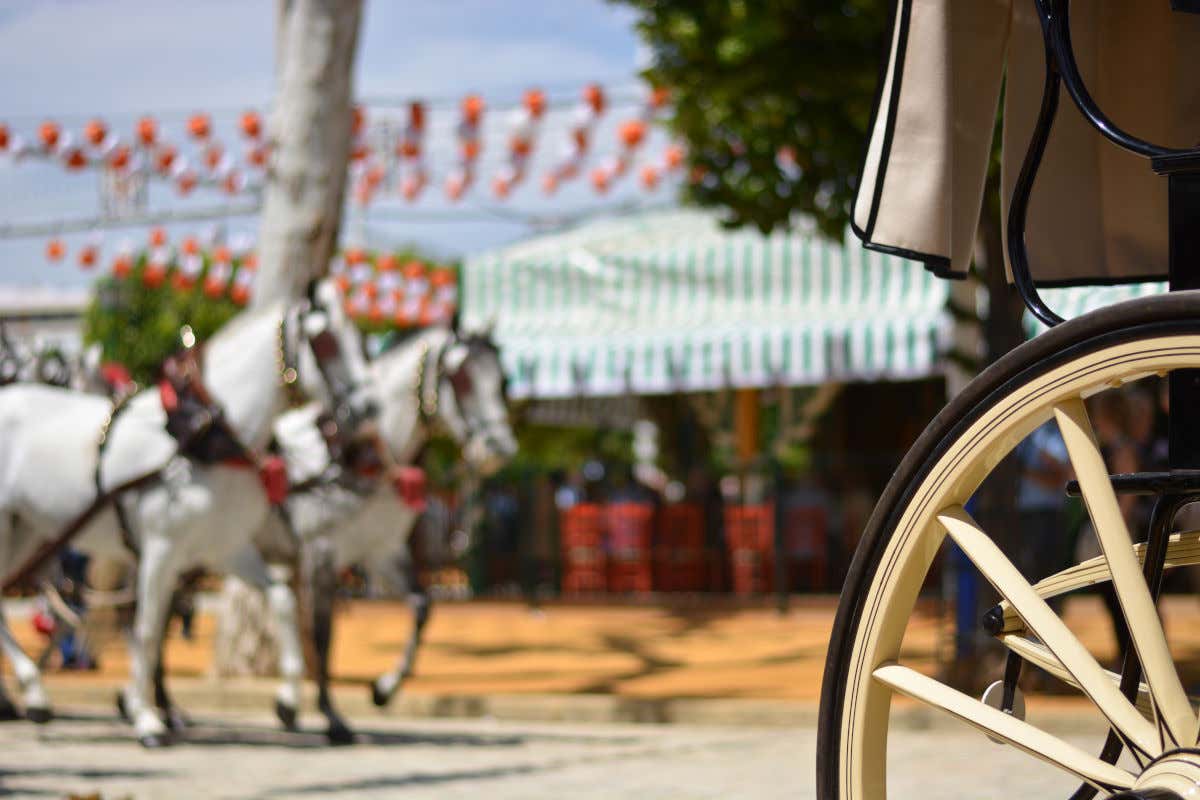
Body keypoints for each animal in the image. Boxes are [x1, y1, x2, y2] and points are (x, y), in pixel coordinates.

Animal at [0, 281, 372, 743]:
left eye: (361, 338)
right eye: (326, 341)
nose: (367, 409)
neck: (203, 435)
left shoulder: (225, 547)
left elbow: (282, 601)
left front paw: (287, 702)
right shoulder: (160, 549)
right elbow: (146, 630)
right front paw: (146, 717)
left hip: (27, 530)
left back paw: (29, 695)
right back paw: (33, 690)